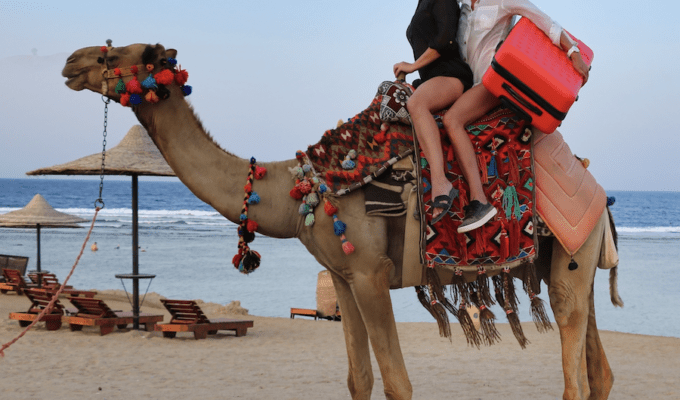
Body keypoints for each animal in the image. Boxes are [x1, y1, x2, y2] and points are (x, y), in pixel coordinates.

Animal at [62, 43, 622, 400]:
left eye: (120, 54)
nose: (71, 61)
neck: (299, 191)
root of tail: (596, 186)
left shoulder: (372, 274)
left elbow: (398, 382)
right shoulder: (343, 277)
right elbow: (360, 379)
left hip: (571, 257)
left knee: (574, 378)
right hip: (575, 265)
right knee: (599, 372)